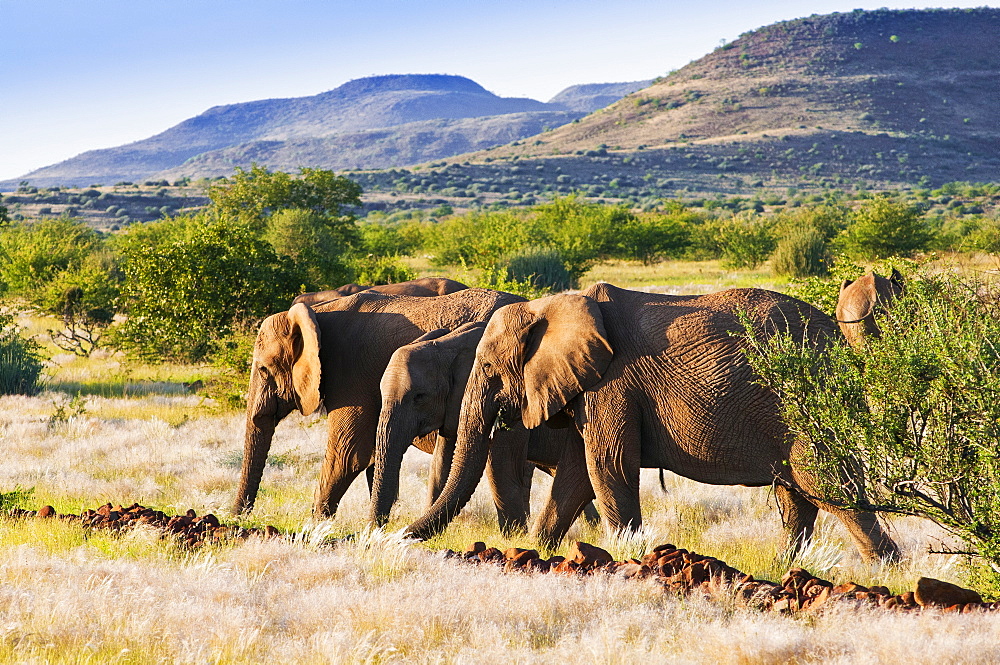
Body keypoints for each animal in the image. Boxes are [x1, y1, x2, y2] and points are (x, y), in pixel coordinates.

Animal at [229, 288, 520, 516]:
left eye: (263, 370)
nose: (237, 519)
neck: (317, 314)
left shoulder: (352, 376)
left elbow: (349, 453)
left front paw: (316, 527)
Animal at [372, 322, 596, 536]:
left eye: (419, 397)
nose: (390, 531)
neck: (447, 346)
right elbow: (440, 465)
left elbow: (501, 464)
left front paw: (514, 537)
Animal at [402, 282, 904, 560]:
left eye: (488, 369)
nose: (399, 537)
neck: (551, 307)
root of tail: (840, 342)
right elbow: (577, 474)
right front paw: (538, 551)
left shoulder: (613, 383)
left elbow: (607, 468)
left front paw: (628, 557)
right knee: (798, 497)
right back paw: (787, 568)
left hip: (803, 405)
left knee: (827, 487)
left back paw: (888, 569)